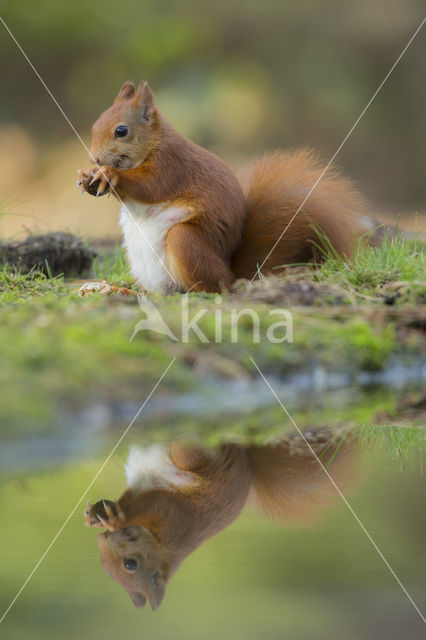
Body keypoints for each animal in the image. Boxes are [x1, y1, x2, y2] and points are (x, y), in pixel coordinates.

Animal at [77, 78, 376, 296]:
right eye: (94, 127)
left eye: (122, 131)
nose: (95, 158)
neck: (154, 143)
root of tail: (232, 274)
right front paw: (88, 175)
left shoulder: (172, 164)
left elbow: (151, 187)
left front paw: (110, 174)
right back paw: (124, 291)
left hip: (186, 241)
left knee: (211, 288)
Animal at [84, 436, 356, 608]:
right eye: (102, 562)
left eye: (130, 564)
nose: (104, 538)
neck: (161, 545)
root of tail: (243, 455)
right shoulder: (140, 485)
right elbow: (126, 498)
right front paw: (97, 514)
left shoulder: (172, 512)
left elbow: (151, 505)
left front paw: (115, 519)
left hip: (194, 459)